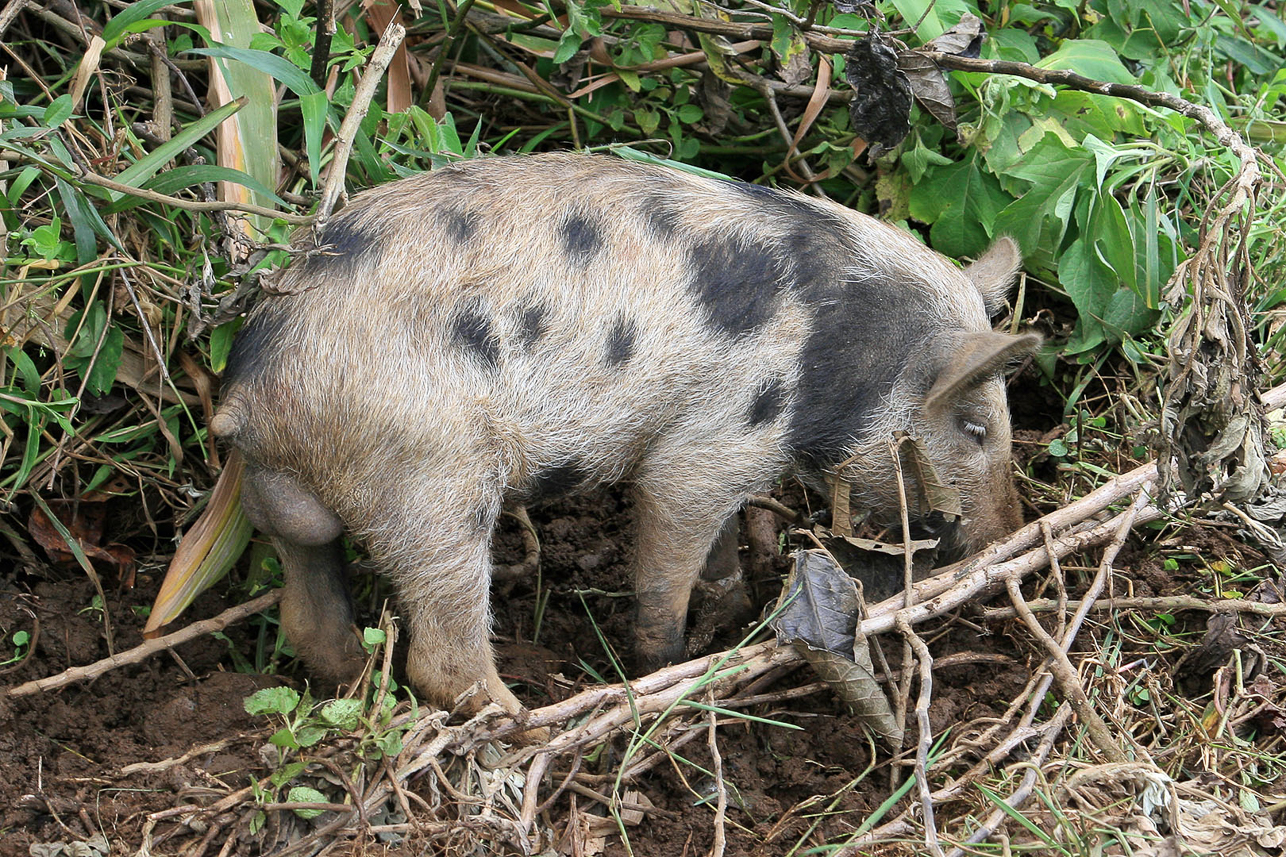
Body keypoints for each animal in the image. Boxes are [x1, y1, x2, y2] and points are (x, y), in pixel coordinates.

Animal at [205, 151, 1039, 715]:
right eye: (975, 426)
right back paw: (527, 721)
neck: (843, 352)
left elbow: (720, 546)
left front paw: (728, 615)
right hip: (429, 474)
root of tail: (256, 388)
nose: (1009, 531)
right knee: (441, 653)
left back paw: (352, 686)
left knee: (309, 604)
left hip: (291, 491)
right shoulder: (711, 440)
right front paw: (662, 666)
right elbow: (668, 549)